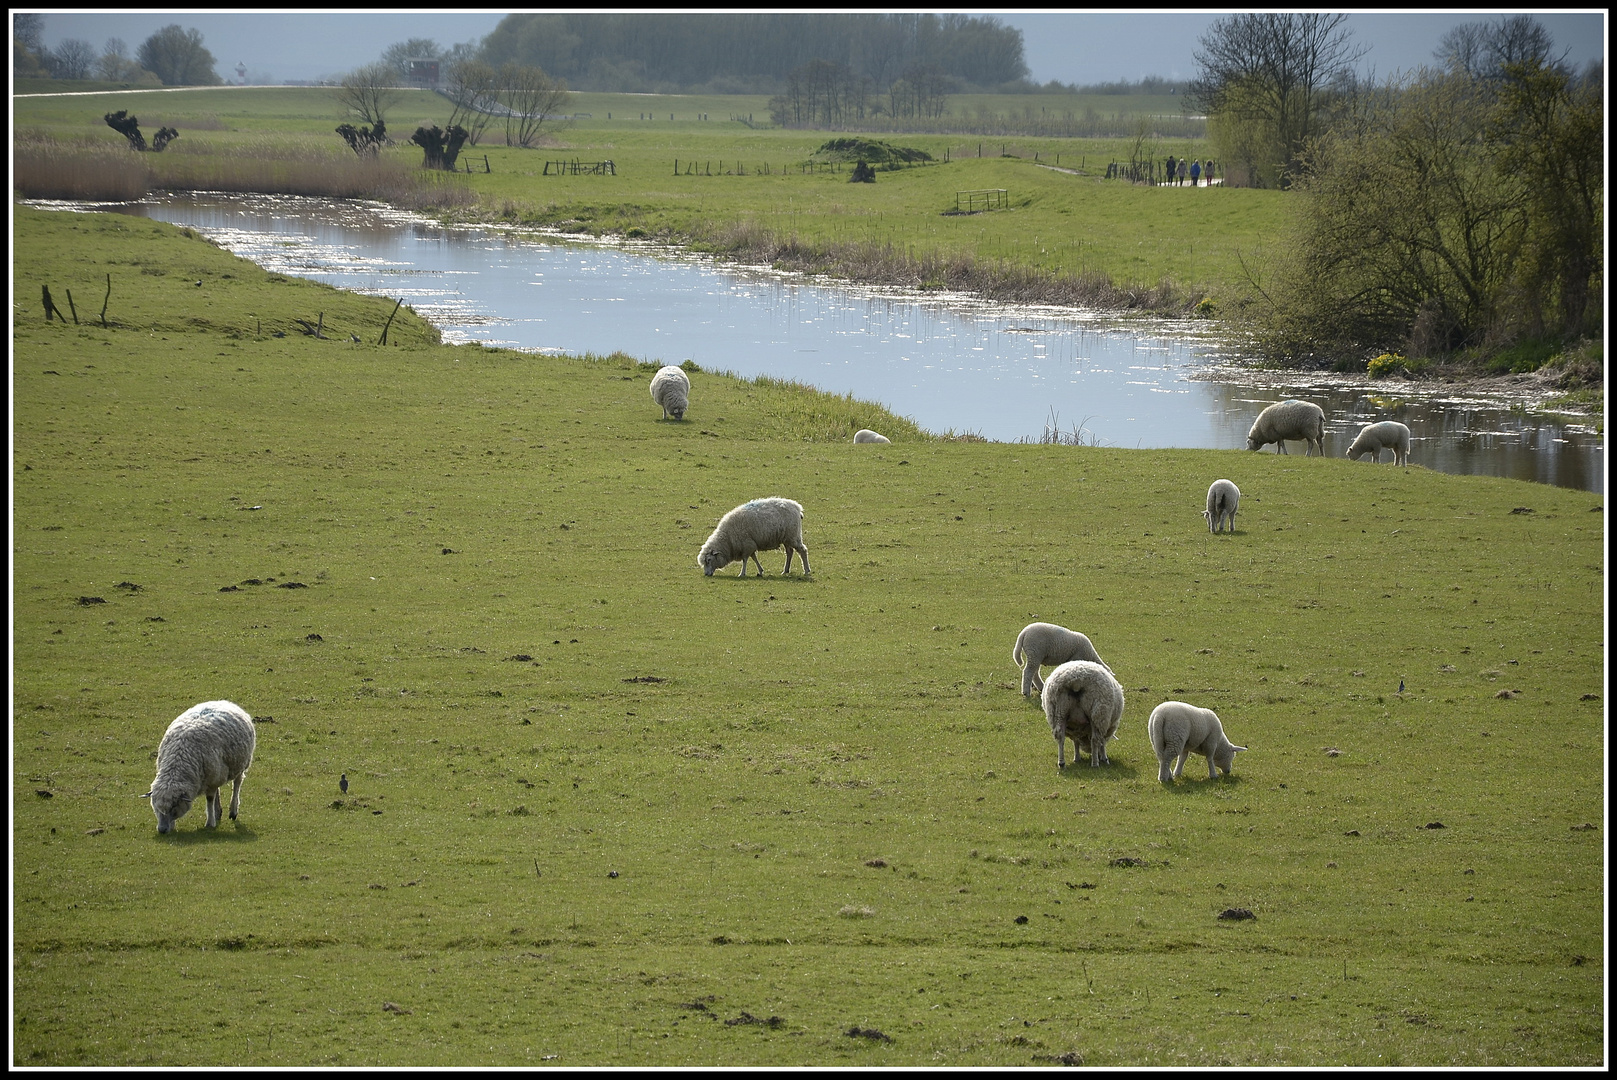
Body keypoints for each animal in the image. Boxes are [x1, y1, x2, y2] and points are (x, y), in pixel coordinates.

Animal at [143, 701, 257, 834]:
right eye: (155, 807)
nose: (162, 830)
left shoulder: (212, 779)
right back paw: (218, 812)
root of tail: (223, 701)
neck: (180, 757)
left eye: (174, 807)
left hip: (240, 763)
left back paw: (233, 811)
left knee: (237, 783)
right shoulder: (212, 778)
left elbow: (210, 799)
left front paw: (210, 823)